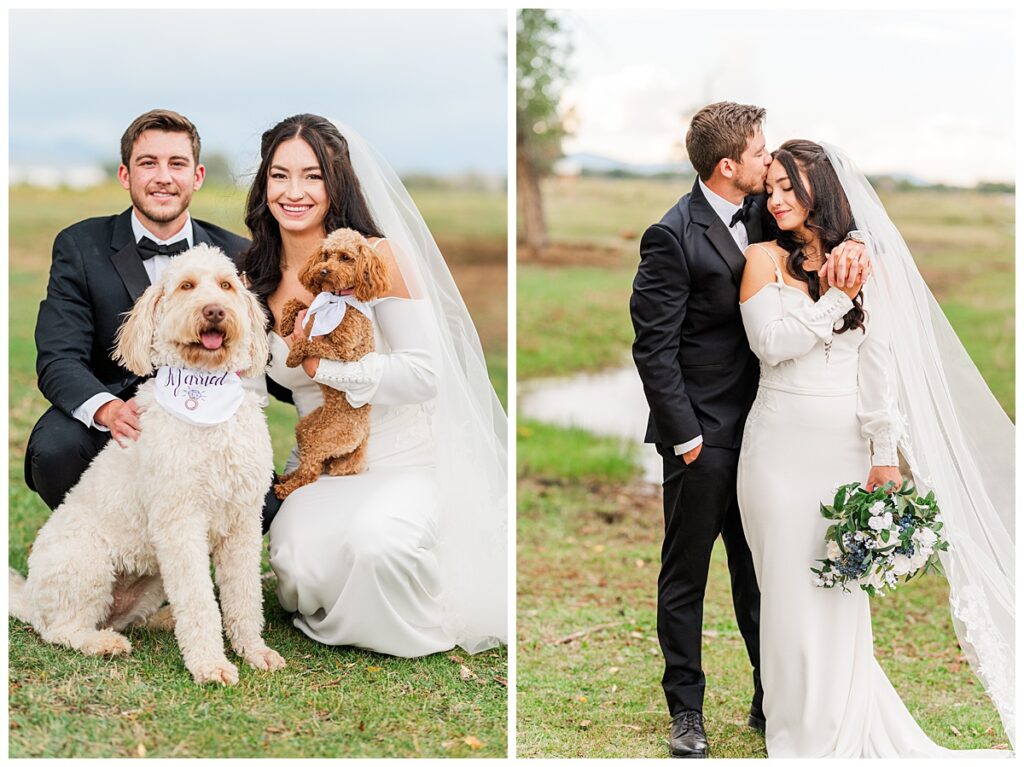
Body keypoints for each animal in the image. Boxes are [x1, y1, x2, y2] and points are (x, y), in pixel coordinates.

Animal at [9, 243, 286, 684]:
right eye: (187, 286)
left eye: (226, 285)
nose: (214, 311)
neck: (204, 400)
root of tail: (30, 598)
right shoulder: (181, 523)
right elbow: (199, 601)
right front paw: (210, 664)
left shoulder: (243, 520)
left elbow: (243, 596)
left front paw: (254, 651)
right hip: (85, 562)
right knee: (61, 629)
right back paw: (102, 643)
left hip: (152, 576)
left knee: (131, 617)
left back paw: (162, 620)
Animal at [276, 226, 391, 497]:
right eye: (326, 255)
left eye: (346, 258)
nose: (324, 271)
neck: (336, 300)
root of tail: (362, 438)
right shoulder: (310, 308)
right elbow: (296, 303)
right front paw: (285, 324)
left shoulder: (343, 352)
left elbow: (309, 342)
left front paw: (293, 356)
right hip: (307, 428)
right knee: (311, 465)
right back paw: (286, 478)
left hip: (323, 437)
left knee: (310, 472)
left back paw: (285, 488)